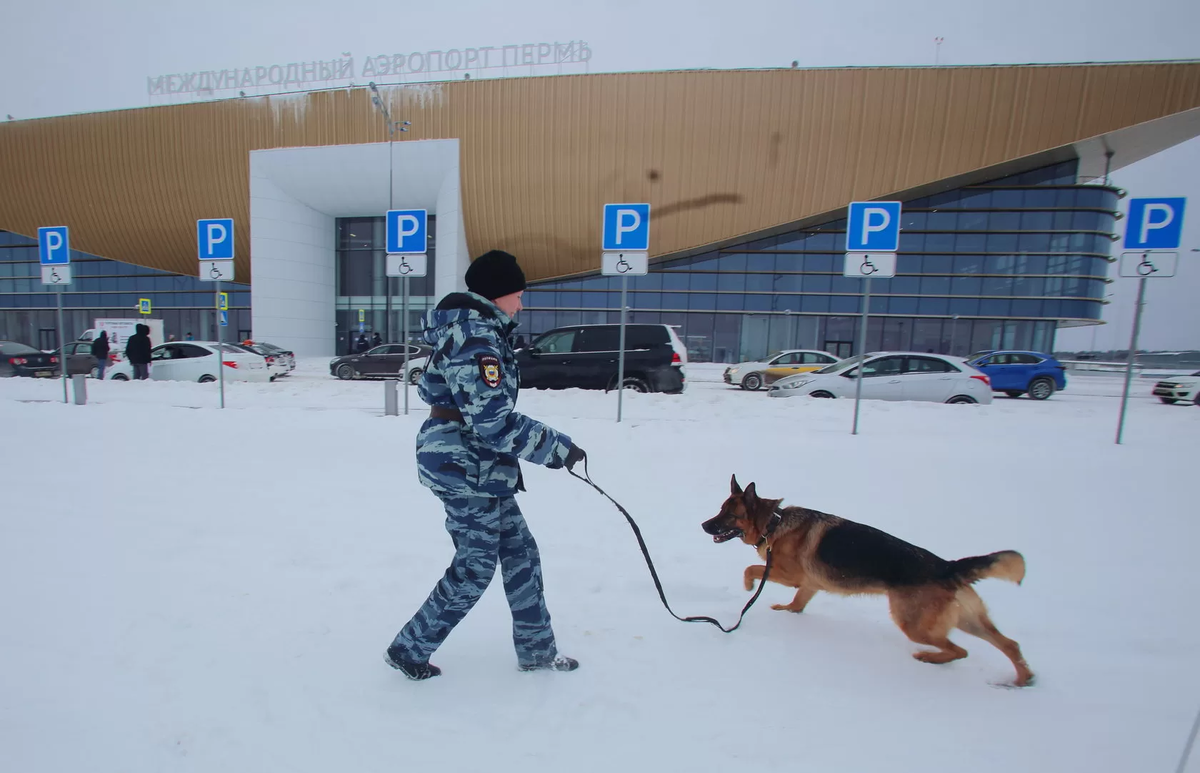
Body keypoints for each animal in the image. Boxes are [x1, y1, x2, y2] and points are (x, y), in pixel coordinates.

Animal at [700, 472, 1032, 686]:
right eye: (720, 509)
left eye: (729, 515)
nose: (703, 525)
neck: (773, 522)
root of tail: (947, 567)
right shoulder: (808, 585)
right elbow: (797, 604)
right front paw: (787, 612)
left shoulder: (789, 575)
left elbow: (751, 570)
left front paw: (748, 587)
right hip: (967, 619)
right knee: (1010, 644)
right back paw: (1022, 679)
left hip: (913, 624)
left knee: (960, 650)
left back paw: (929, 658)